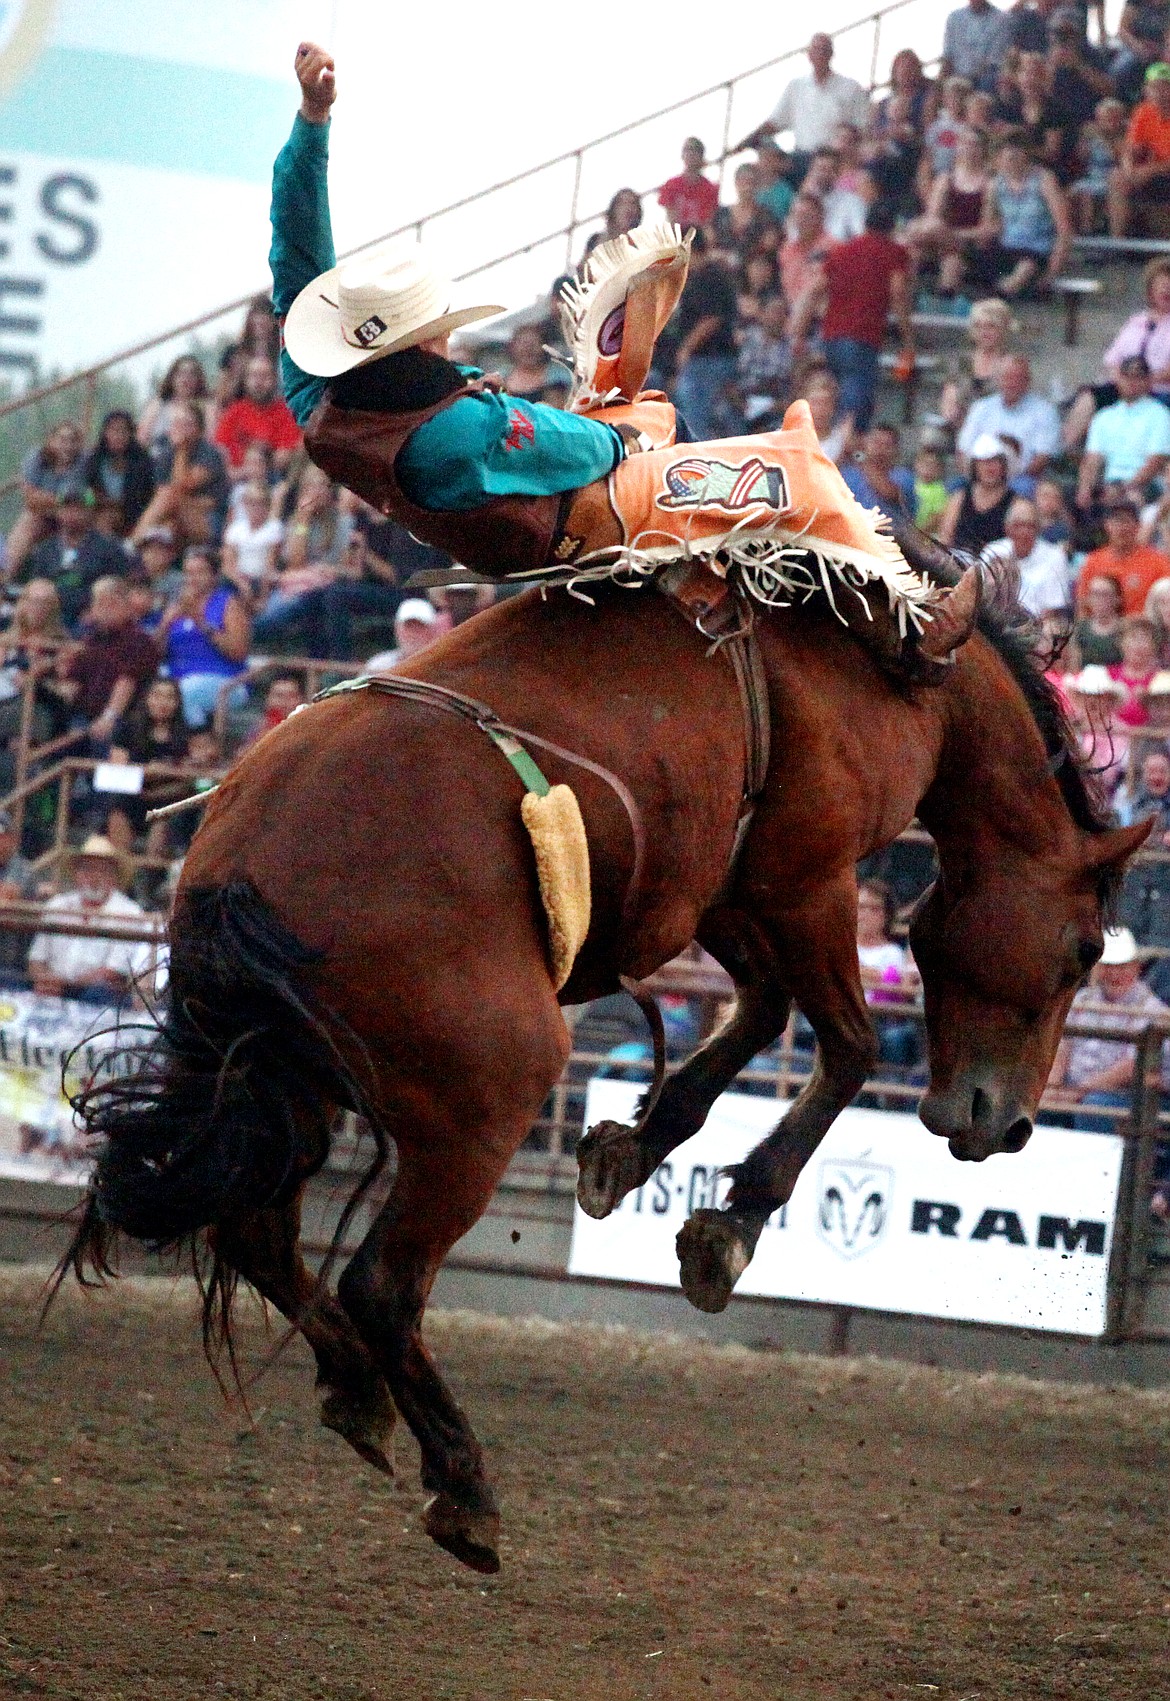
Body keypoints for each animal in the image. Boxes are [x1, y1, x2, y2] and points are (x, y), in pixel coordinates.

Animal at [61, 551, 1142, 1571]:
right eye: (1085, 948)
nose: (1007, 1124)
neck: (902, 670)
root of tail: (241, 866)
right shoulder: (802, 878)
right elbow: (845, 1045)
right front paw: (728, 1226)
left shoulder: (720, 882)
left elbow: (760, 1011)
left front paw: (630, 1149)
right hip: (481, 1100)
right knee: (381, 1282)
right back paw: (463, 1483)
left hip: (289, 1079)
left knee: (260, 1233)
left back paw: (358, 1391)